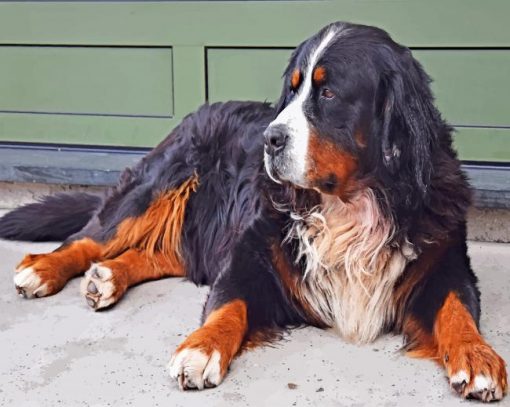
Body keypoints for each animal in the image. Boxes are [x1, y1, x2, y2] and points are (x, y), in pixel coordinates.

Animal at [1, 21, 508, 402]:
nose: (270, 138)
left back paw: (108, 276)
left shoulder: (443, 263)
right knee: (92, 236)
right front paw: (200, 349)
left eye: (328, 94)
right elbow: (229, 305)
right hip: (159, 183)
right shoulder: (251, 254)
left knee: (159, 254)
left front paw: (479, 357)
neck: (351, 205)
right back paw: (44, 270)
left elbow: (457, 310)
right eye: (294, 89)